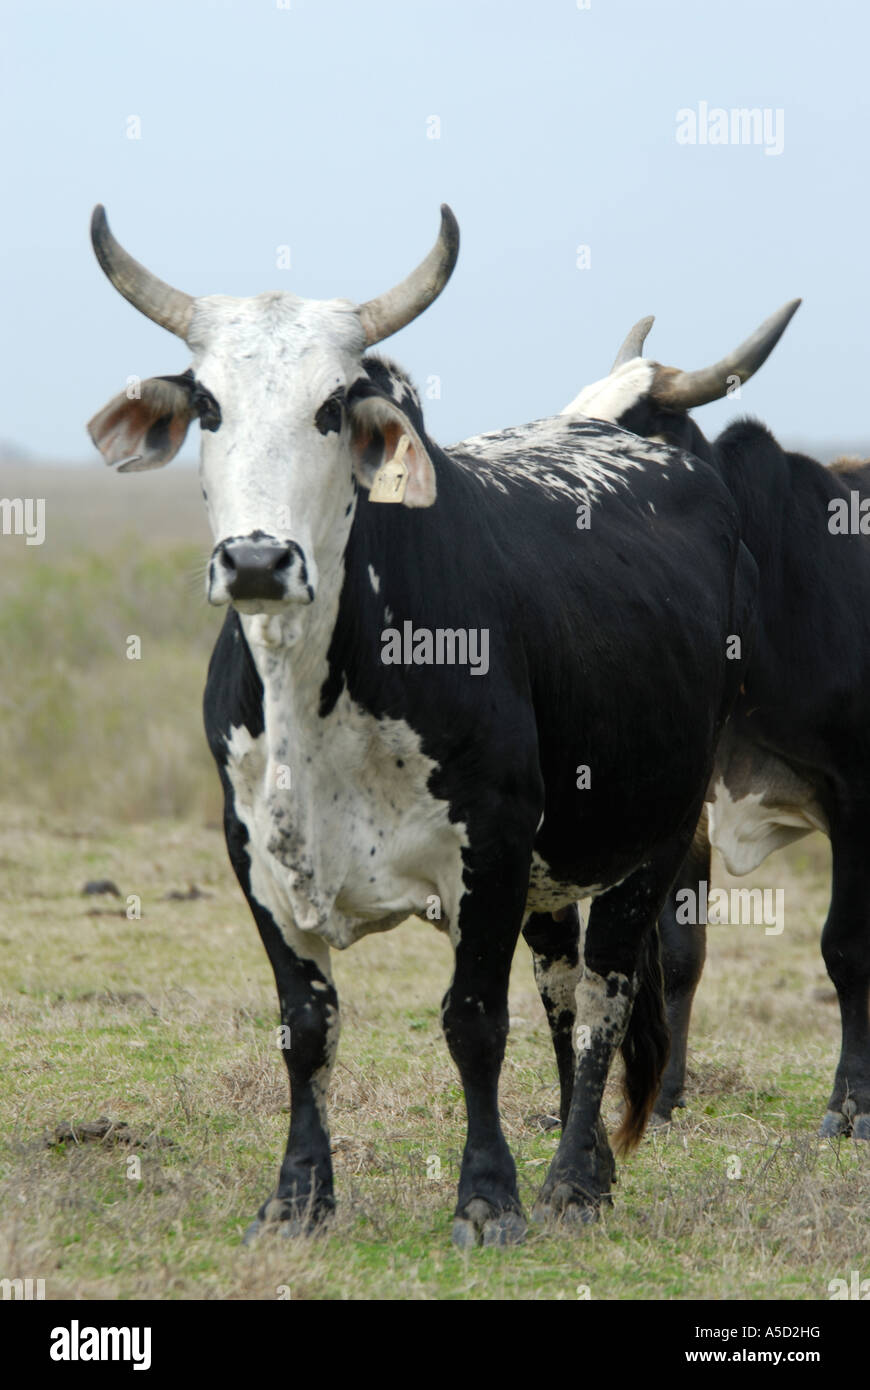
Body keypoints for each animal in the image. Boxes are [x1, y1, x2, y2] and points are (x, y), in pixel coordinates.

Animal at [87, 205, 755, 1245]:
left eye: (333, 406)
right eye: (208, 406)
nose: (256, 560)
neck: (315, 691)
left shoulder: (490, 845)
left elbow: (473, 1021)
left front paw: (488, 1195)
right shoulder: (253, 852)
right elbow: (306, 1028)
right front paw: (298, 1196)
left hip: (657, 832)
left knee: (604, 992)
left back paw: (574, 1178)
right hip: (557, 866)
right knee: (562, 992)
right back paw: (593, 1164)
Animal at [563, 305, 870, 1140]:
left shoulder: (856, 794)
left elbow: (844, 948)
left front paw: (848, 1108)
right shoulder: (684, 801)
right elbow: (676, 951)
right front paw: (665, 1095)